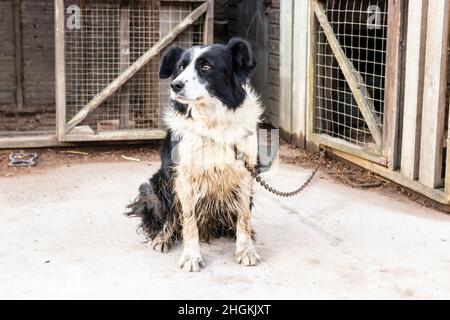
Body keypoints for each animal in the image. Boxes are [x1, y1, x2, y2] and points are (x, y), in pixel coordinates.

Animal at [125, 38, 262, 272]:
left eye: (206, 66)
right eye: (180, 67)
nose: (175, 85)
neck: (212, 123)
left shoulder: (244, 174)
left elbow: (243, 217)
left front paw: (246, 250)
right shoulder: (183, 177)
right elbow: (188, 221)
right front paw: (191, 257)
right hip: (159, 182)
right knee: (169, 218)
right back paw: (163, 238)